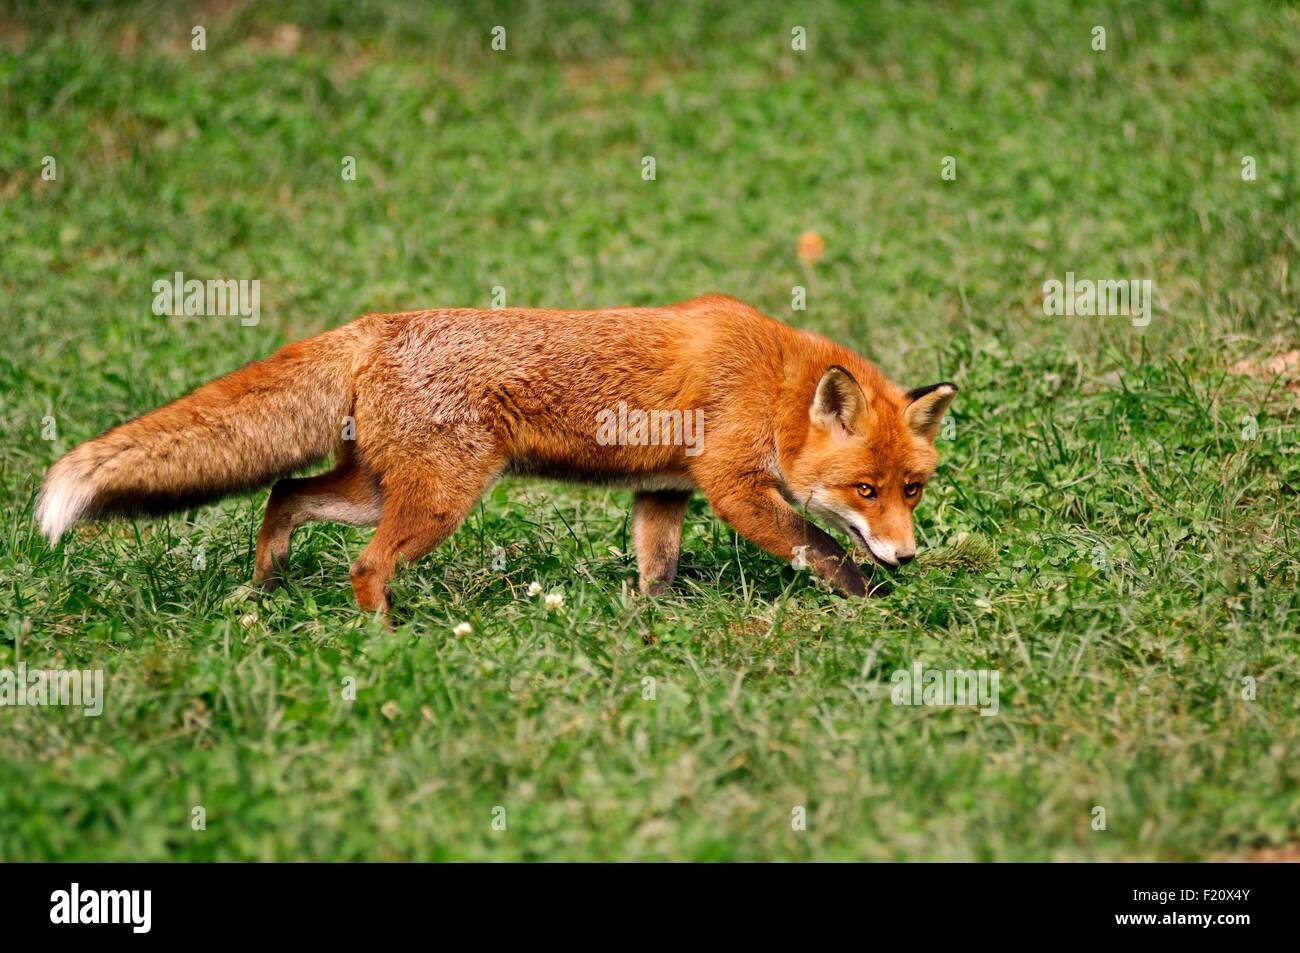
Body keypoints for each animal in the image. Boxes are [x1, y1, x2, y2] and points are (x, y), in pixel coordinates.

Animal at [36, 295, 957, 614]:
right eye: (864, 489)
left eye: (911, 488)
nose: (911, 555)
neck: (769, 383)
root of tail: (379, 325)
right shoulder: (732, 488)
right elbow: (822, 548)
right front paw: (873, 598)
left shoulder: (662, 493)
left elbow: (656, 569)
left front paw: (653, 626)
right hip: (439, 501)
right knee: (364, 565)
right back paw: (386, 638)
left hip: (377, 489)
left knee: (283, 495)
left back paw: (263, 586)